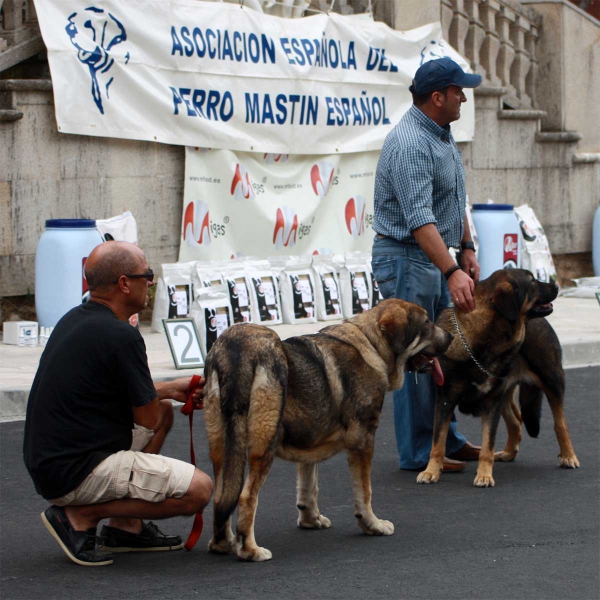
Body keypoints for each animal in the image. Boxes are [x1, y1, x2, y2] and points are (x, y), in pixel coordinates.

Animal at [204, 300, 452, 564]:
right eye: (426, 323)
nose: (451, 336)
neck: (372, 345)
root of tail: (237, 349)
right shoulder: (363, 439)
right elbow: (364, 491)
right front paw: (372, 525)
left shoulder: (309, 441)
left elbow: (308, 486)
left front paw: (310, 520)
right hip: (264, 445)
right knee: (245, 497)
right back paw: (250, 550)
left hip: (222, 448)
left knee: (222, 496)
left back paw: (223, 544)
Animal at [414, 270, 580, 490]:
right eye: (532, 282)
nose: (557, 287)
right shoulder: (445, 400)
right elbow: (437, 442)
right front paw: (431, 471)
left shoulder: (492, 402)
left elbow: (487, 445)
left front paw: (484, 475)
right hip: (506, 392)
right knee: (516, 421)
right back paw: (509, 453)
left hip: (552, 380)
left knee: (560, 423)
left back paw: (569, 456)